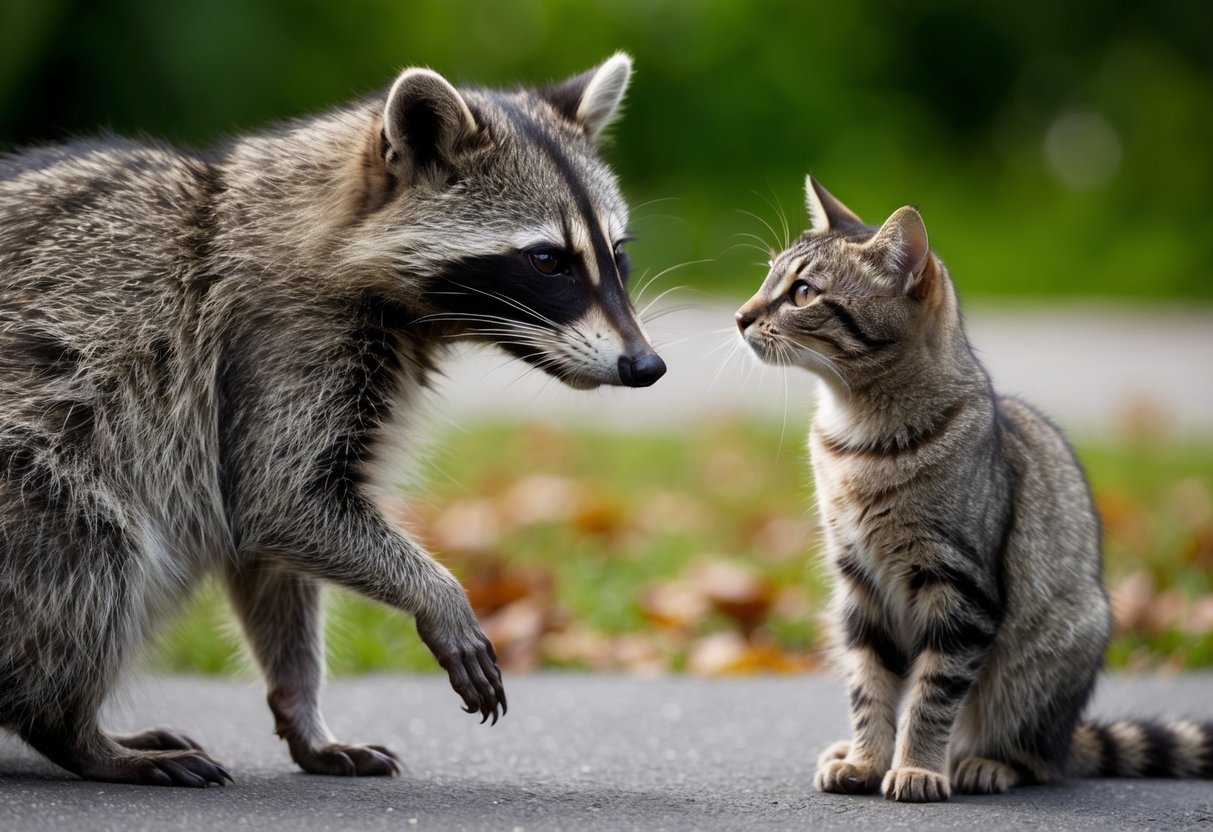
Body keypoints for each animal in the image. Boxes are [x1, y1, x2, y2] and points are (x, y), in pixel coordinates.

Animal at [0, 52, 664, 787]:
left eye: (617, 254)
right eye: (547, 260)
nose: (647, 366)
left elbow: (267, 550)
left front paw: (302, 710)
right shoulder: (272, 349)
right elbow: (281, 500)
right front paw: (436, 593)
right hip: (45, 459)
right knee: (83, 549)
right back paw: (74, 730)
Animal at [735, 176, 1213, 801]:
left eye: (803, 292)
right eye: (767, 278)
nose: (740, 317)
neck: (857, 437)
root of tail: (1069, 735)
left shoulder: (960, 588)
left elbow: (931, 697)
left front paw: (915, 768)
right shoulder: (858, 586)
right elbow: (870, 687)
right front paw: (866, 759)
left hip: (1045, 663)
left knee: (1034, 757)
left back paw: (983, 764)